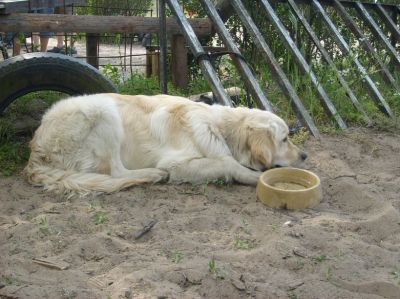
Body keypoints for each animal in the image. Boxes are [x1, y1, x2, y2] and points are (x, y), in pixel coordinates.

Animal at [25, 94, 306, 197]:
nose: (304, 156)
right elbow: (227, 163)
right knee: (116, 173)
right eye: (284, 139)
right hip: (103, 110)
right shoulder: (177, 163)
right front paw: (250, 176)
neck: (220, 128)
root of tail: (34, 155)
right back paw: (153, 174)